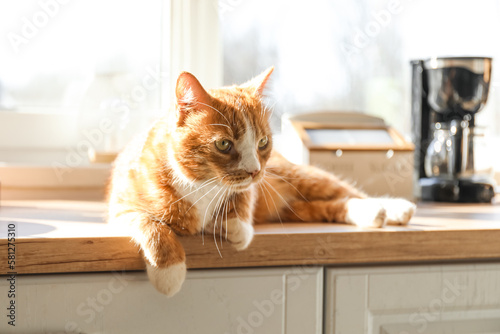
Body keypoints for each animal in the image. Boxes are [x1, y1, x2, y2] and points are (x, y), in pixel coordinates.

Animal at [107, 67, 416, 294]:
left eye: (263, 142)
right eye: (224, 144)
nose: (255, 170)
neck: (202, 185)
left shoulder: (254, 186)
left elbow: (244, 199)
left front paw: (234, 225)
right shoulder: (120, 208)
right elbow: (152, 227)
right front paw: (169, 272)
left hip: (300, 176)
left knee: (349, 192)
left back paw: (394, 209)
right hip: (297, 209)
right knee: (332, 206)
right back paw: (375, 214)